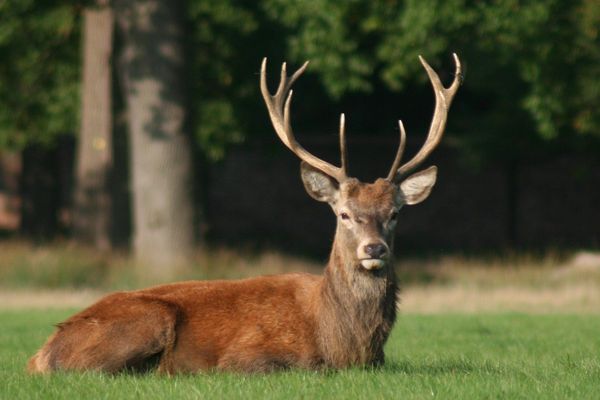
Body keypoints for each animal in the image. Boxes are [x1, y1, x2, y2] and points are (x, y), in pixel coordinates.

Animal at [28, 54, 462, 374]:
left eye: (395, 213)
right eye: (343, 213)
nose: (374, 249)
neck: (344, 343)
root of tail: (40, 354)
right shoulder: (247, 356)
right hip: (147, 320)